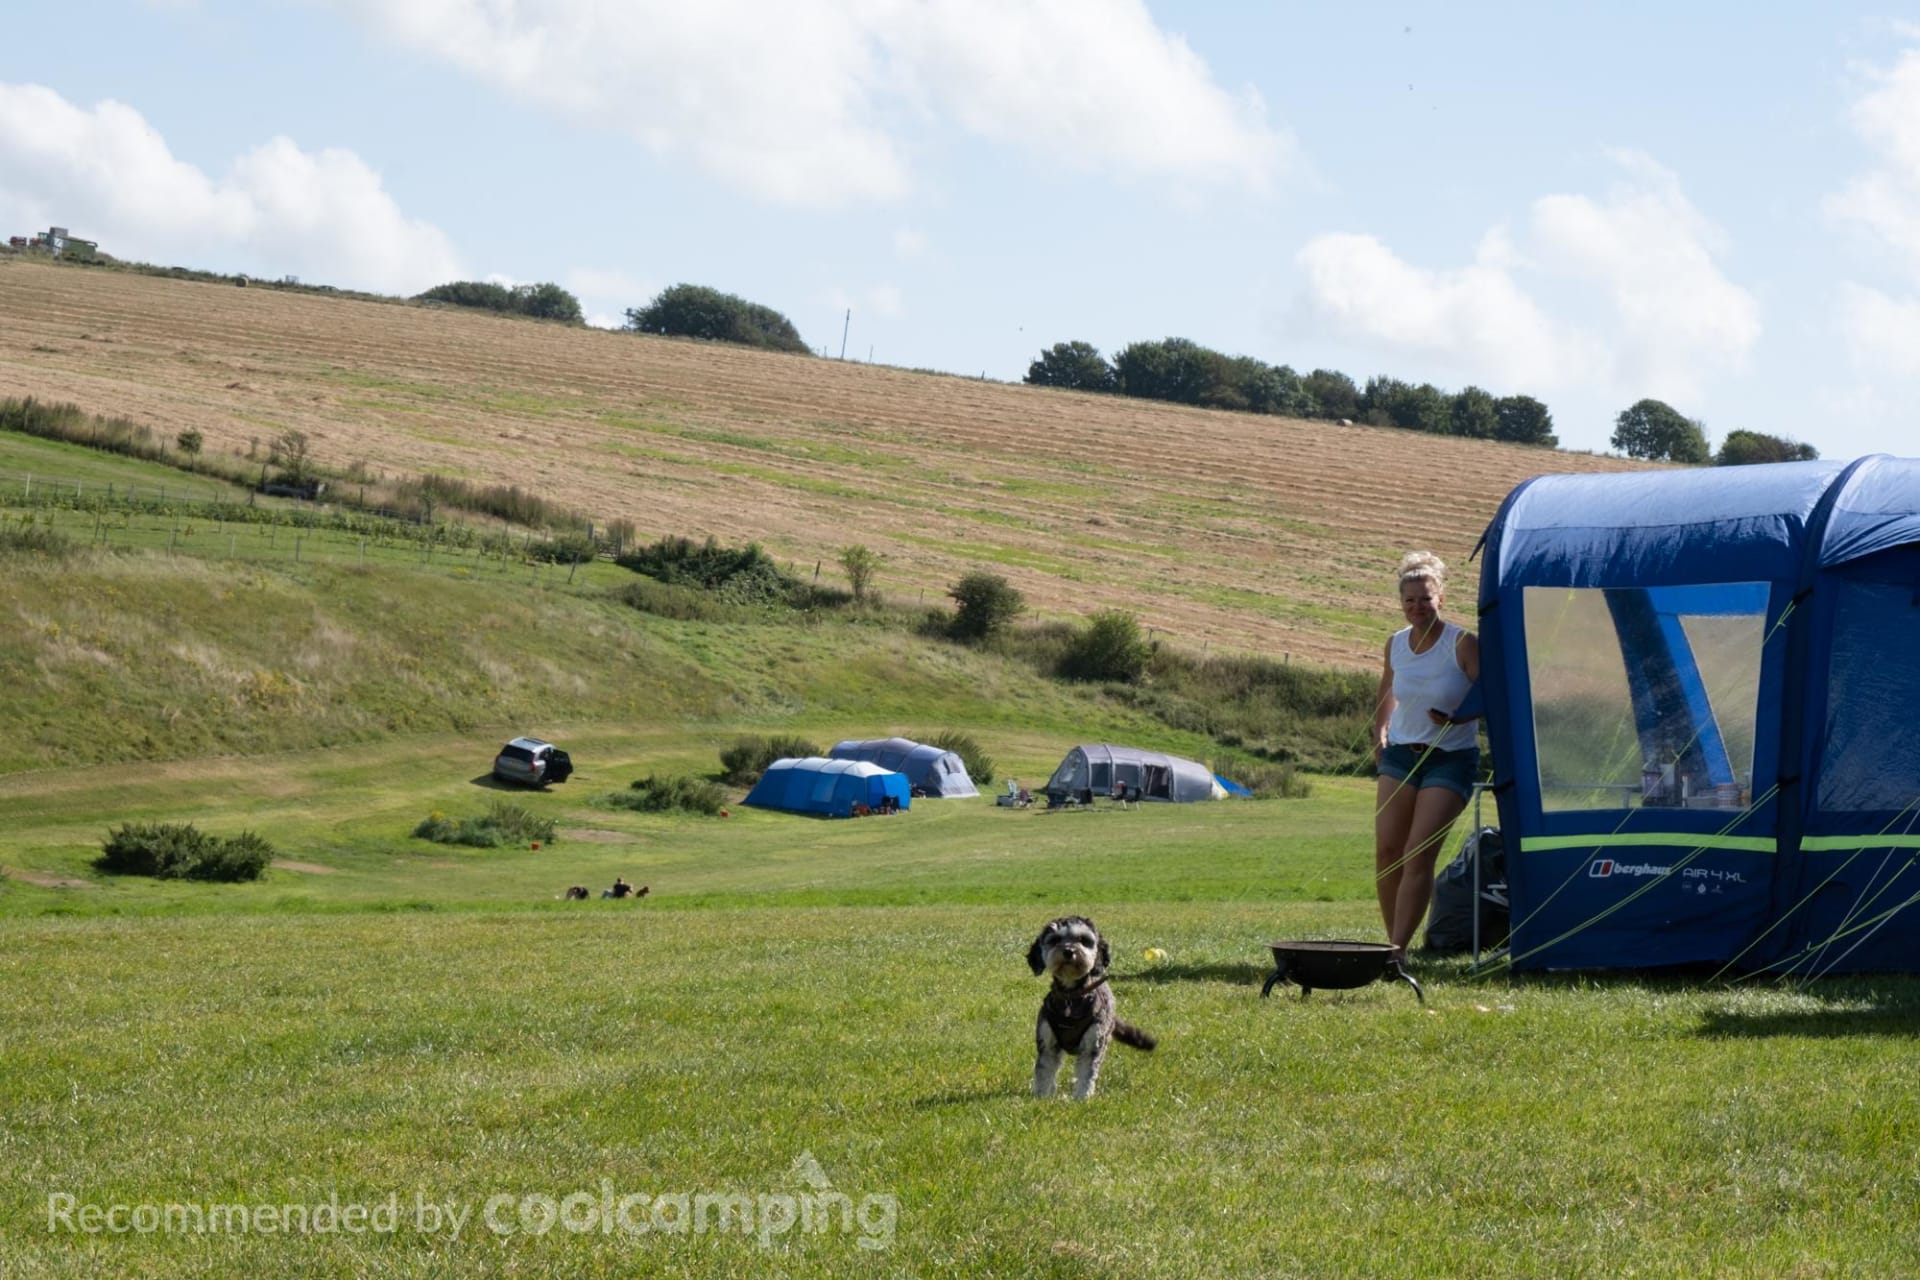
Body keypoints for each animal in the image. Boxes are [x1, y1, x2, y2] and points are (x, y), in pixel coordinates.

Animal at [1029, 909, 1159, 1105]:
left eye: (1084, 940)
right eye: (1055, 940)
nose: (1069, 951)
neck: (1071, 997)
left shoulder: (1093, 1043)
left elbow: (1086, 1073)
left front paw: (1081, 1097)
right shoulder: (1047, 1044)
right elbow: (1044, 1072)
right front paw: (1042, 1097)